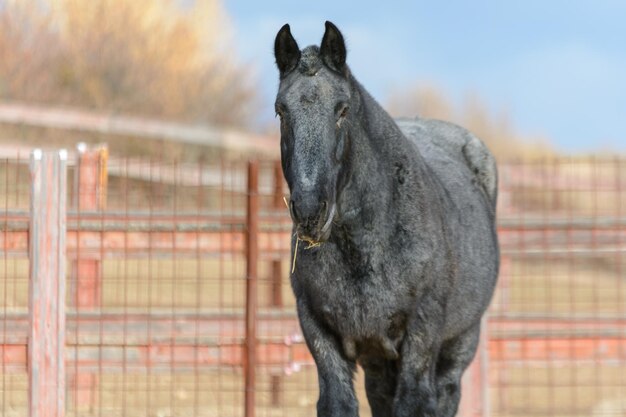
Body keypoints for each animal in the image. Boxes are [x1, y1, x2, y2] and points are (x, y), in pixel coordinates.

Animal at [272, 22, 498, 416]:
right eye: (281, 111)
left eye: (342, 109)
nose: (310, 210)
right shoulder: (320, 333)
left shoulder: (420, 340)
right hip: (378, 362)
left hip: (458, 346)